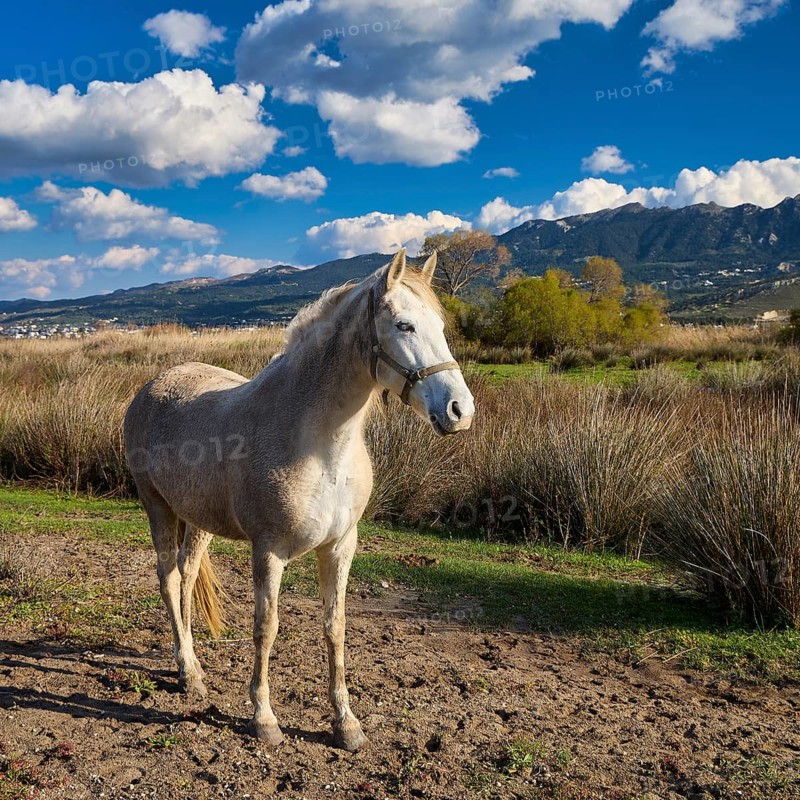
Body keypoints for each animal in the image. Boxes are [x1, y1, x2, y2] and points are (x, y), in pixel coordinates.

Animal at [123, 250, 475, 751]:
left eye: (441, 326)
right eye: (404, 325)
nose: (460, 410)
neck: (320, 444)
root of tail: (152, 386)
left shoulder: (340, 546)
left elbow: (335, 628)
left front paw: (346, 723)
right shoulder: (268, 551)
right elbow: (266, 628)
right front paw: (264, 718)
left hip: (199, 520)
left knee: (188, 577)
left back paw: (190, 661)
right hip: (158, 508)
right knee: (170, 580)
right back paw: (188, 673)